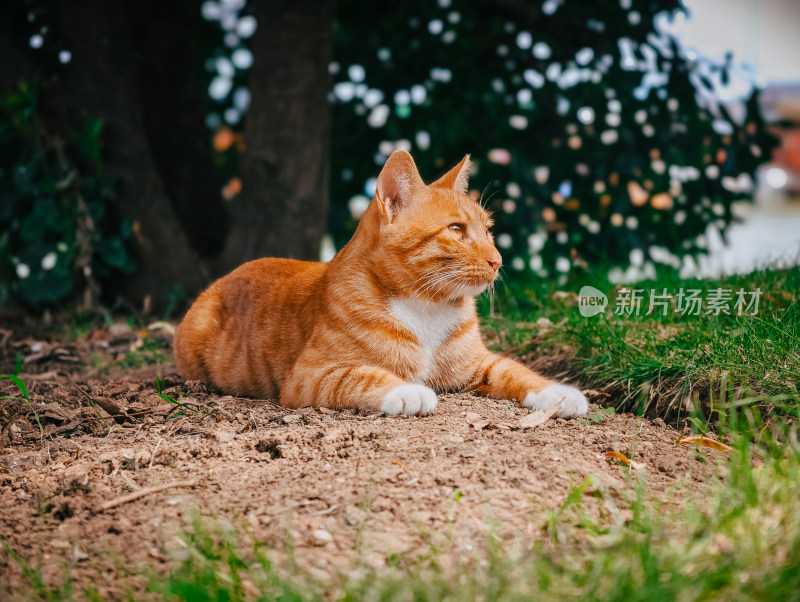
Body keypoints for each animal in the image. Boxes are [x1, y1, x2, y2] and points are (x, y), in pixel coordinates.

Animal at [173, 149, 588, 418]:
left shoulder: (478, 364)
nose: (498, 260)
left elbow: (515, 370)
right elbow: (359, 375)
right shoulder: (308, 377)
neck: (426, 306)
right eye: (456, 230)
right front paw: (407, 390)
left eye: (488, 230)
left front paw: (559, 393)